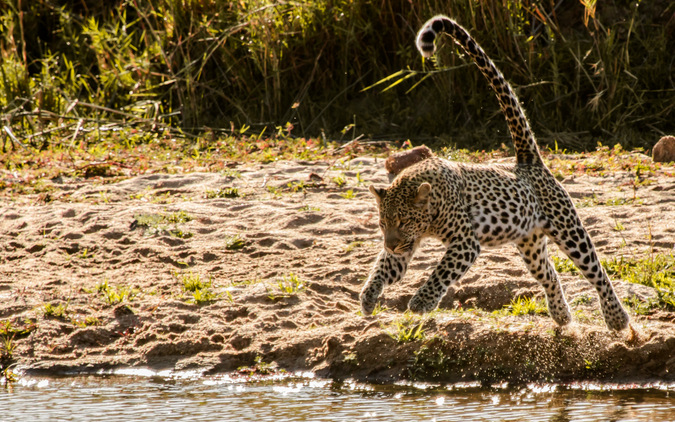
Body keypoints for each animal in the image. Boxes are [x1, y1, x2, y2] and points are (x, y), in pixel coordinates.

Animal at [362, 14, 632, 332]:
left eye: (403, 221)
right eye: (382, 224)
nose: (389, 244)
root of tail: (529, 161)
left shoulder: (464, 242)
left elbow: (441, 272)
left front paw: (421, 302)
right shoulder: (406, 245)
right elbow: (384, 268)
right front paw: (368, 297)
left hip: (568, 228)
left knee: (597, 270)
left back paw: (617, 317)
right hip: (530, 243)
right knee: (550, 275)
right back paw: (562, 315)